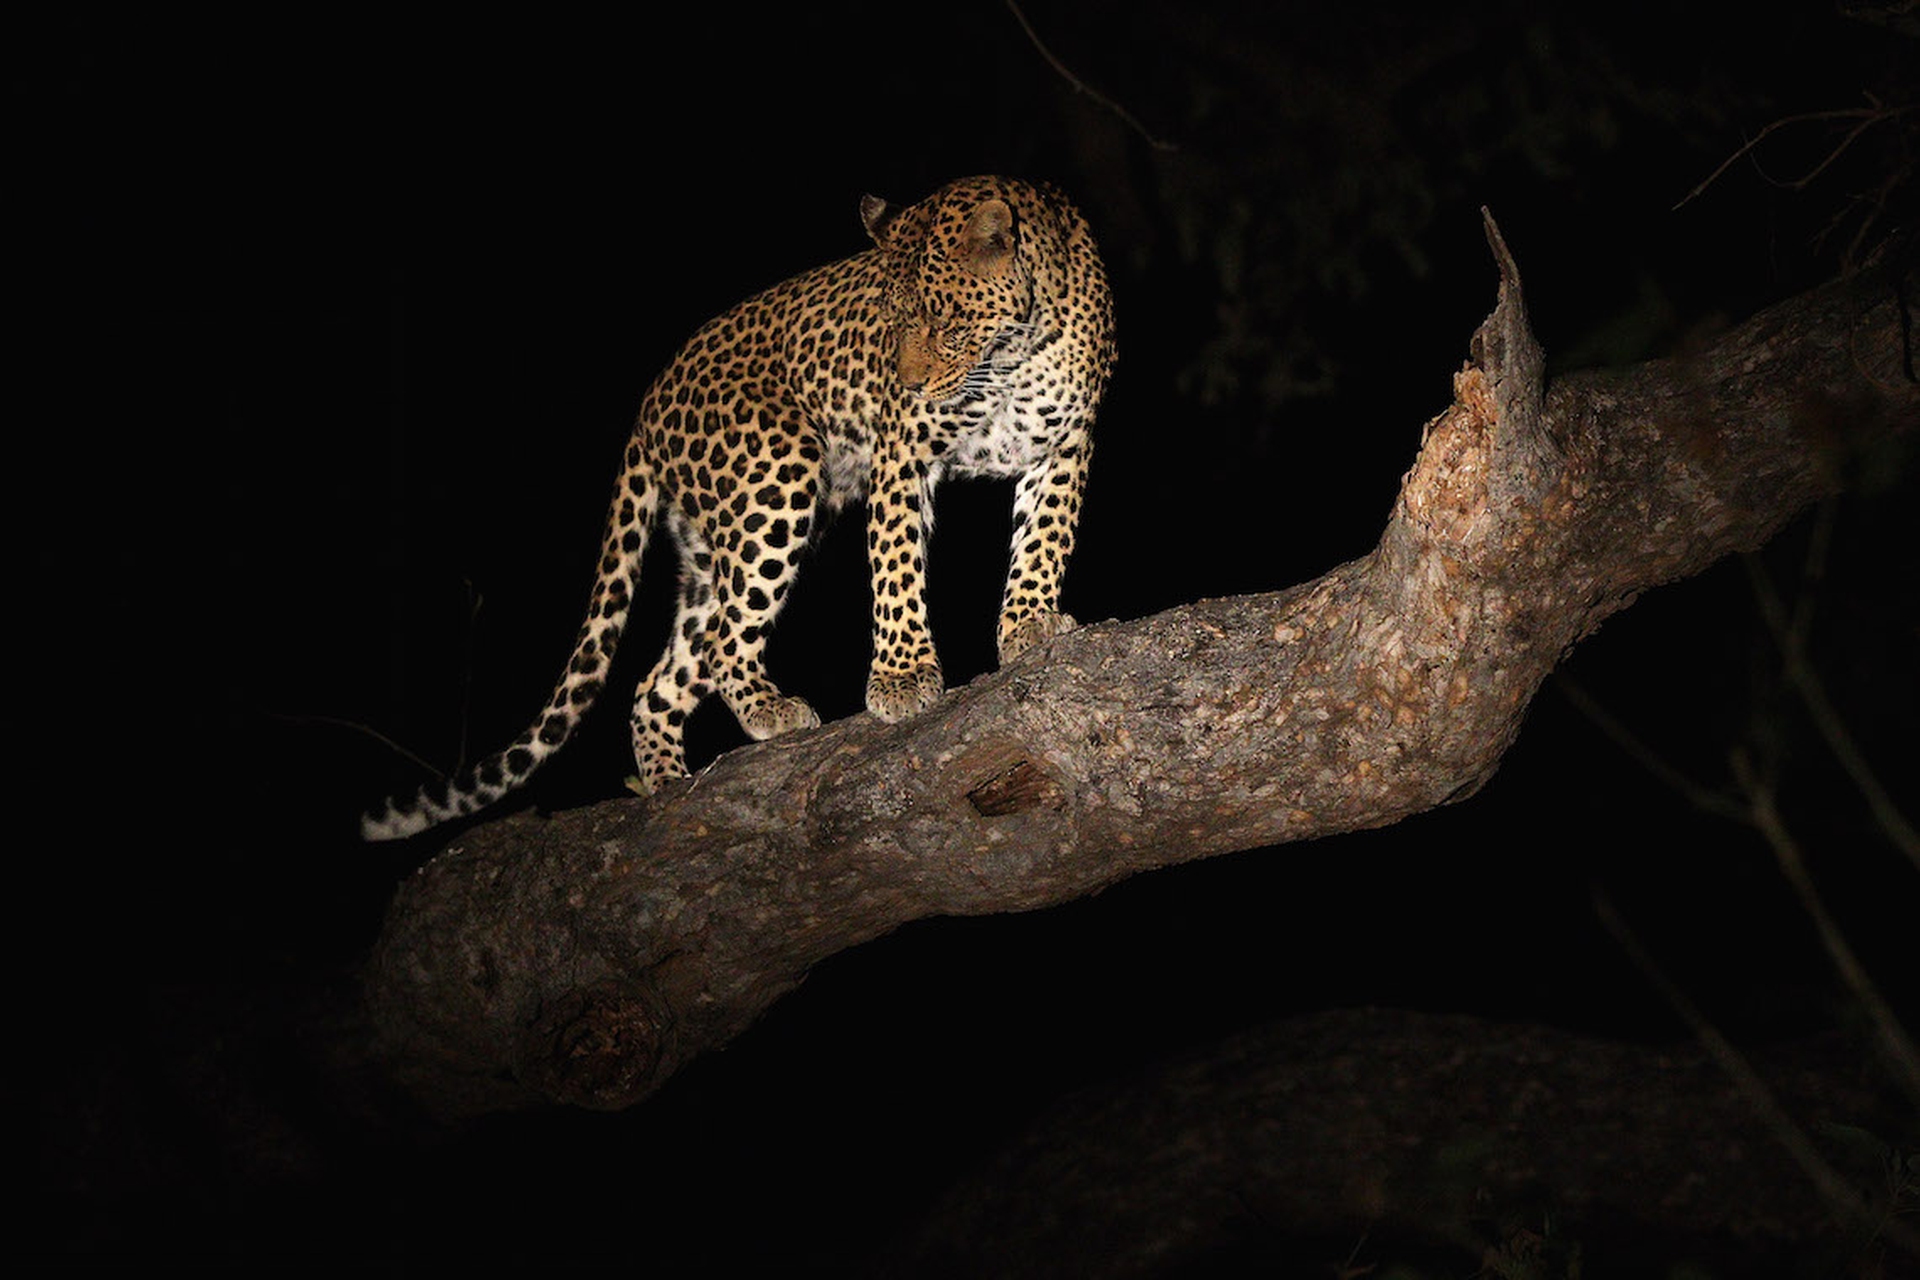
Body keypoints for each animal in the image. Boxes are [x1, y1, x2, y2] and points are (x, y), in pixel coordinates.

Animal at [361, 175, 1115, 841]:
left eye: (943, 320)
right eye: (889, 322)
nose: (905, 383)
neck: (1013, 355)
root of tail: (648, 404)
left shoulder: (1067, 440)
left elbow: (1045, 538)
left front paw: (1030, 623)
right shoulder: (901, 452)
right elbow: (898, 566)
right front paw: (902, 677)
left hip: (709, 551)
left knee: (659, 683)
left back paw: (670, 788)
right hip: (776, 476)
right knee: (726, 642)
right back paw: (767, 711)